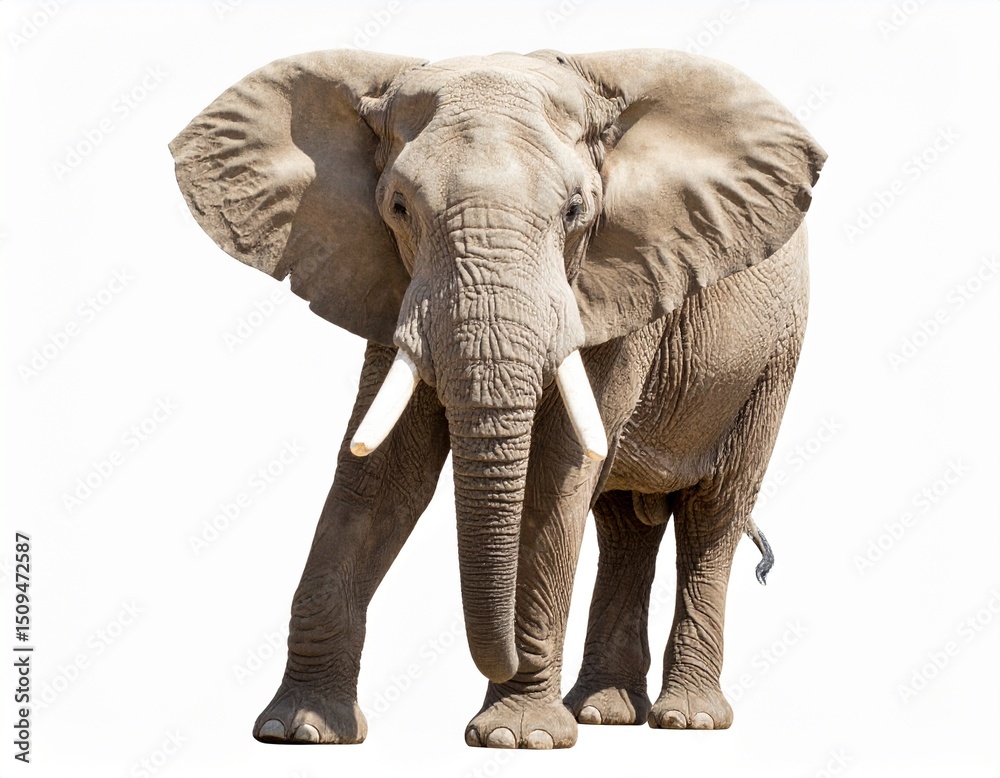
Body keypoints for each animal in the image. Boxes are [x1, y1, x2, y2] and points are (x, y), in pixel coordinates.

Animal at [169, 48, 825, 750]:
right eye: (398, 207)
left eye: (575, 212)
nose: (503, 657)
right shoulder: (391, 283)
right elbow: (383, 477)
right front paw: (299, 731)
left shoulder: (619, 285)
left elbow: (554, 475)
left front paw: (516, 737)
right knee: (624, 526)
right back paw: (602, 713)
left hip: (773, 359)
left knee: (713, 513)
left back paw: (687, 720)